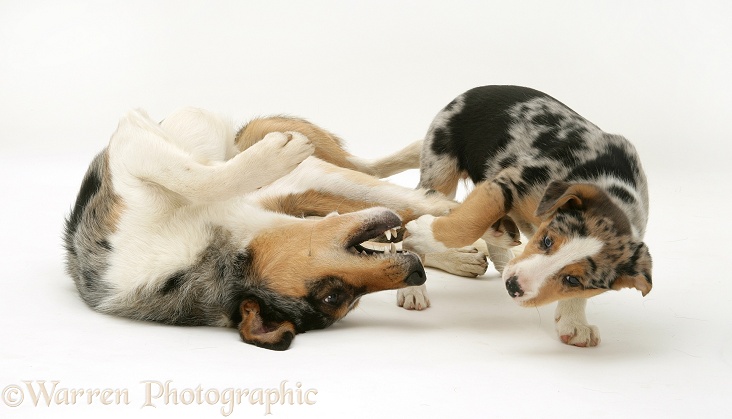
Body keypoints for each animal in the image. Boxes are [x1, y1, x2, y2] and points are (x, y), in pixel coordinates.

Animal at [406, 85, 652, 348]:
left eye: (573, 280)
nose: (512, 285)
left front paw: (574, 323)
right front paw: (422, 233)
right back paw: (412, 287)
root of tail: (470, 93)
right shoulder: (509, 182)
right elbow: (469, 223)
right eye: (547, 241)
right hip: (440, 168)